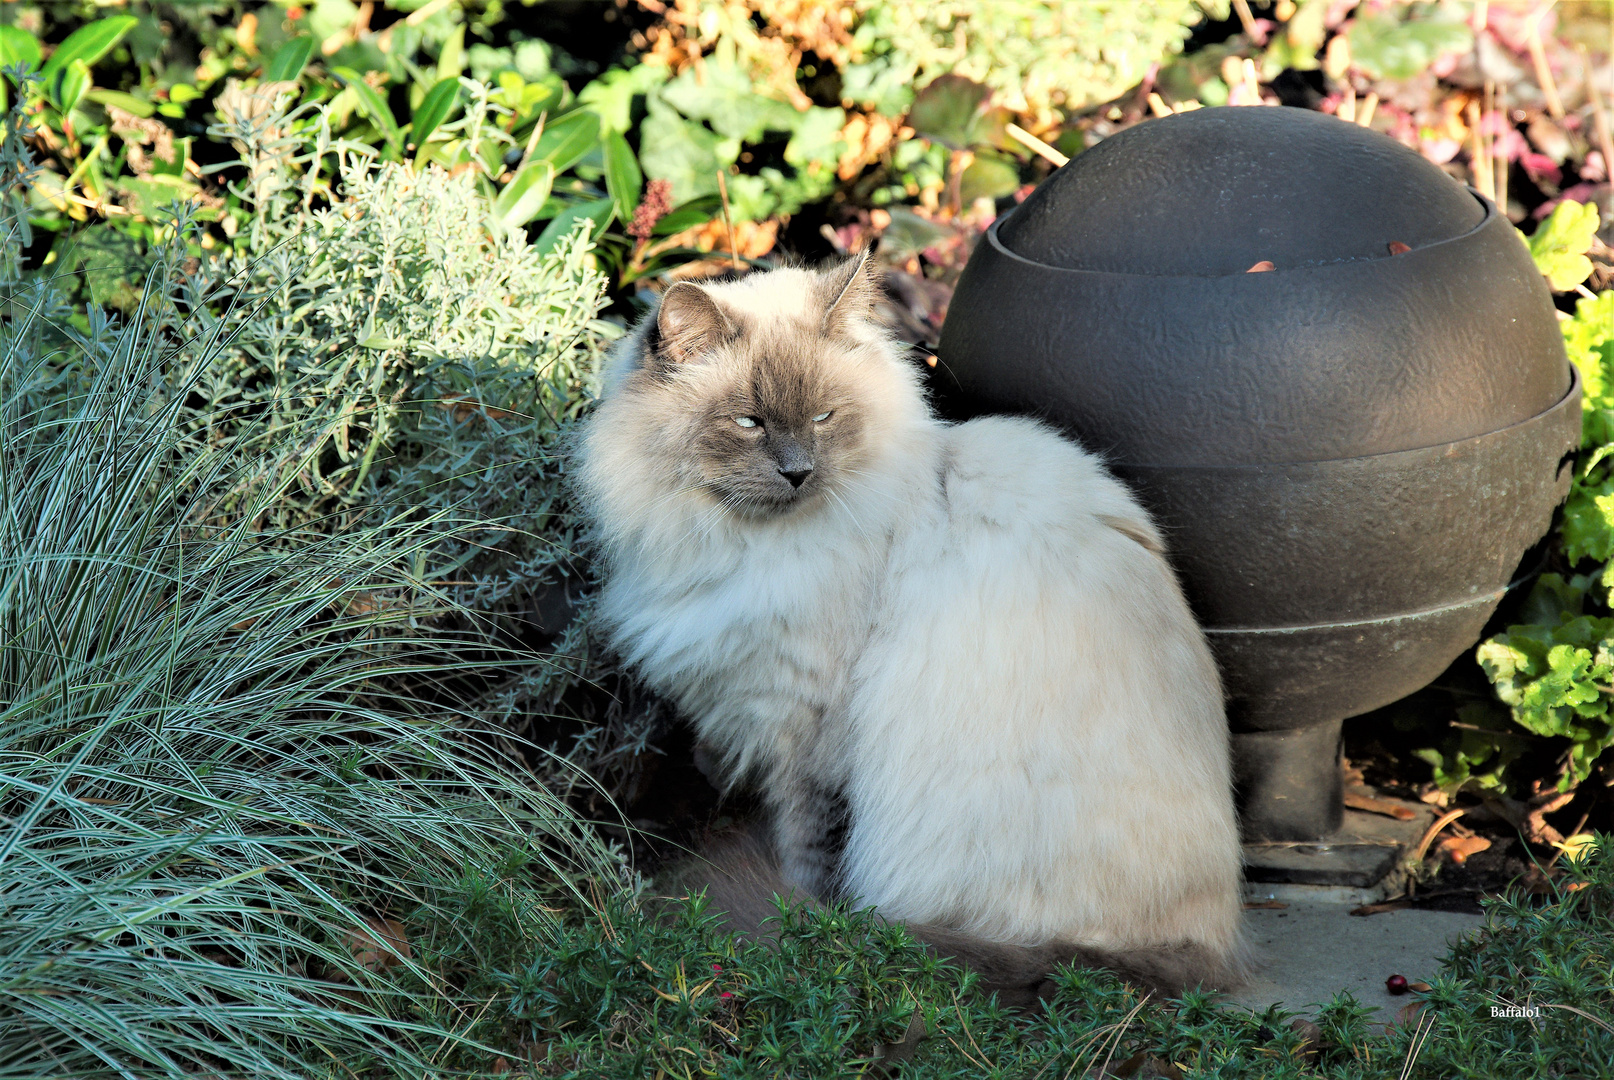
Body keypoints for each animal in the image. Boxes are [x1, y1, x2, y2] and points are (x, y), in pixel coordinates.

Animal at [581, 250, 1246, 994]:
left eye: (823, 417)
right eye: (750, 423)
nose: (797, 473)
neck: (739, 546)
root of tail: (1206, 948)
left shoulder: (806, 733)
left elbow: (808, 851)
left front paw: (803, 929)